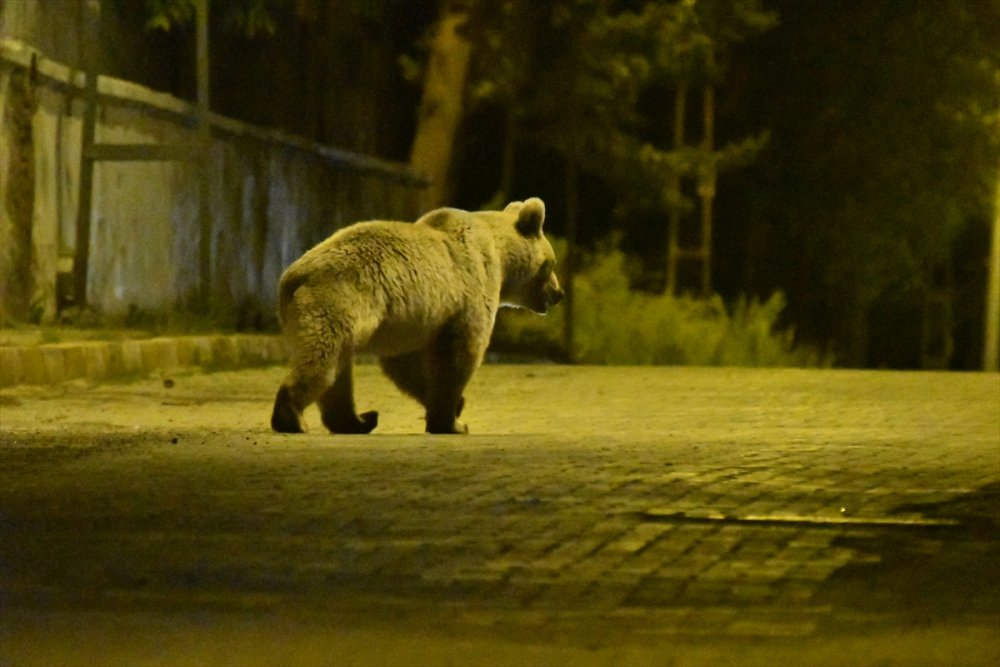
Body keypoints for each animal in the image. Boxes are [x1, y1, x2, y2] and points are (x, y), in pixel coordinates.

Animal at [270, 197, 564, 438]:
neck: (501, 258)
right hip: (340, 300)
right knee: (322, 360)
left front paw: (454, 407)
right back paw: (292, 417)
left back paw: (359, 420)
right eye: (551, 263)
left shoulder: (407, 321)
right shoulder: (469, 291)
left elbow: (406, 364)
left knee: (338, 373)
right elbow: (460, 354)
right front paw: (452, 421)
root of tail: (292, 277)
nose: (558, 293)